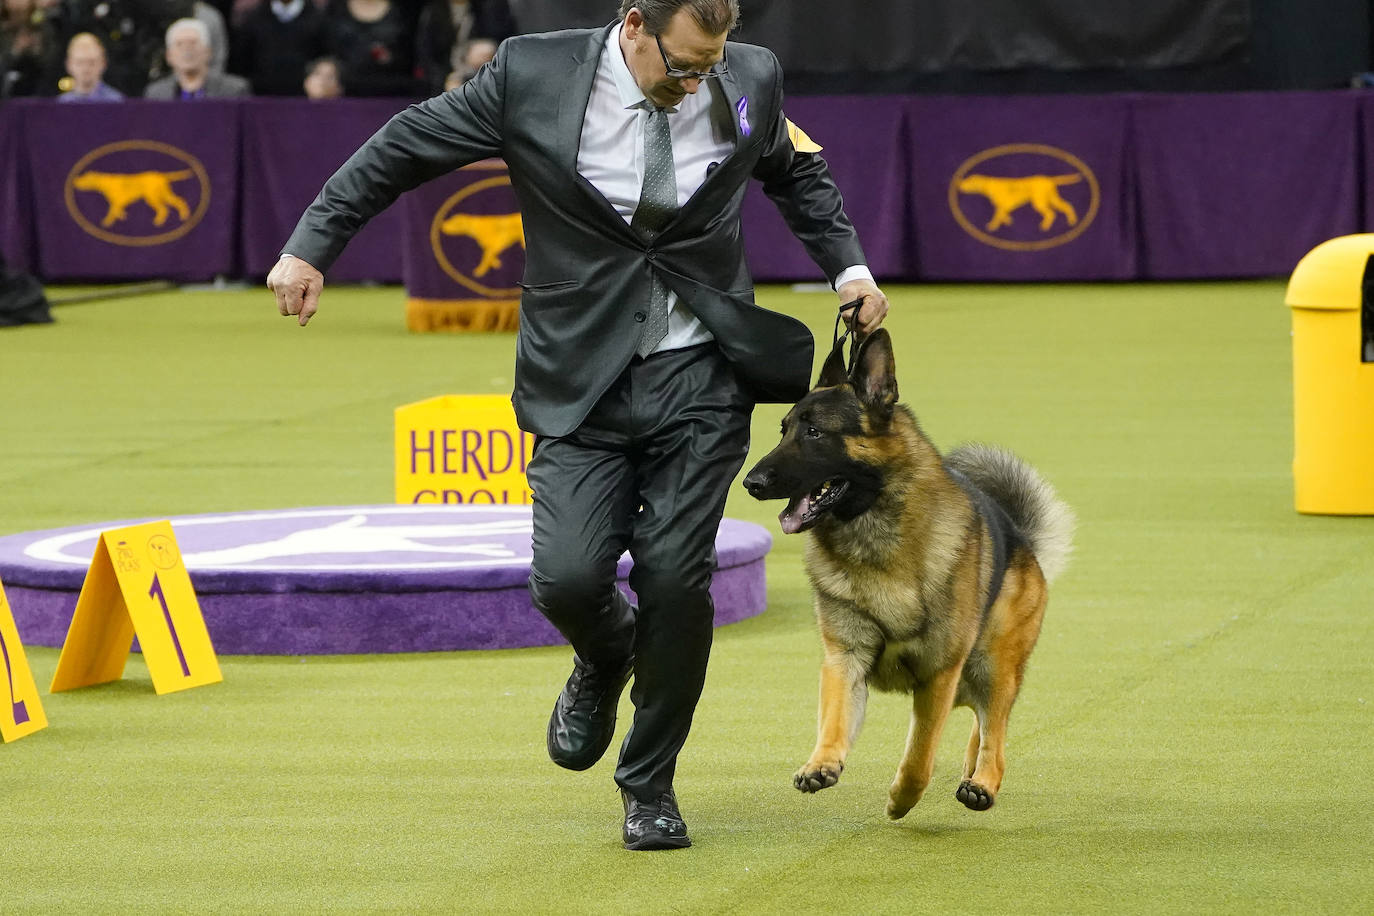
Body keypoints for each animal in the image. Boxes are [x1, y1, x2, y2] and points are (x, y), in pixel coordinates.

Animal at [741, 333, 1071, 818]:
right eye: (783, 430)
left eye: (815, 432)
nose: (752, 482)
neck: (874, 542)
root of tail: (1018, 534)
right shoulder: (845, 660)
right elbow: (834, 720)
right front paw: (822, 763)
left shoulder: (938, 675)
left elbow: (920, 756)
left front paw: (901, 798)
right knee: (985, 723)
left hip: (990, 664)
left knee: (995, 730)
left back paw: (983, 782)